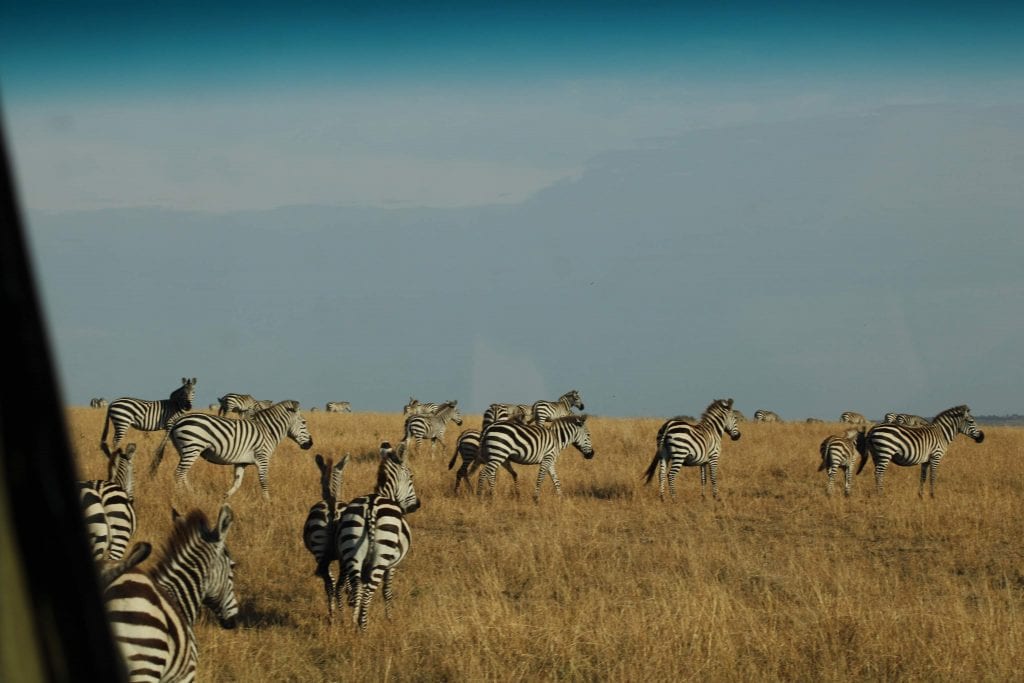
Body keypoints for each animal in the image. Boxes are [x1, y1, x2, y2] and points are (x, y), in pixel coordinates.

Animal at [153, 400, 314, 499]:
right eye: (304, 423)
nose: (310, 444)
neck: (268, 430)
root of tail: (177, 421)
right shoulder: (262, 458)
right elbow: (263, 480)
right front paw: (268, 501)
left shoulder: (241, 462)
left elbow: (237, 482)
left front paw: (226, 497)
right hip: (192, 447)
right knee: (179, 473)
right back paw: (181, 496)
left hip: (185, 450)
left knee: (183, 474)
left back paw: (192, 494)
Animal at [302, 454, 350, 623]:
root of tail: (332, 507)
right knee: (336, 585)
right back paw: (340, 616)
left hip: (321, 553)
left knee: (331, 584)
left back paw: (335, 615)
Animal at [336, 442, 420, 631]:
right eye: (411, 477)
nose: (417, 505)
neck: (385, 493)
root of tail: (371, 506)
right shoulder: (392, 564)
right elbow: (387, 592)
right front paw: (389, 619)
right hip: (382, 557)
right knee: (368, 590)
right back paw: (363, 627)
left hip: (353, 550)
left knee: (358, 586)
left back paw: (354, 622)